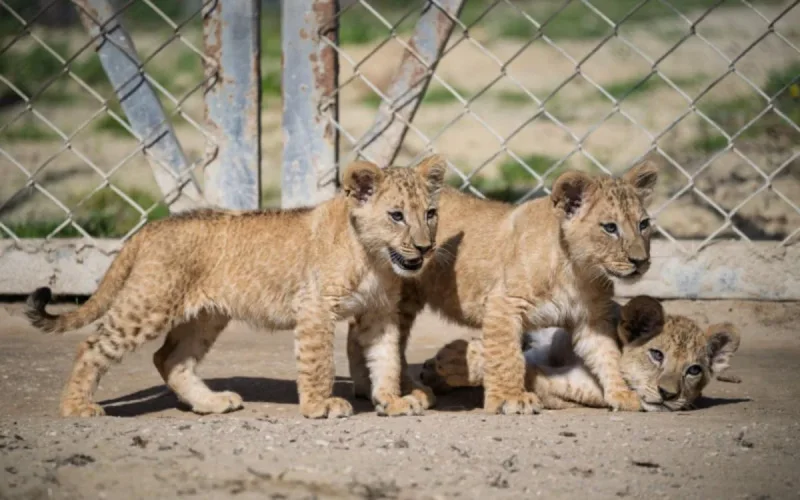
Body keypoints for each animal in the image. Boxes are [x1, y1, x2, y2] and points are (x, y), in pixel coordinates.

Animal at [25, 156, 446, 419]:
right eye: (396, 216)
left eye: (430, 213)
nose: (425, 247)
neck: (375, 260)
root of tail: (151, 226)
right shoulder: (314, 309)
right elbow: (318, 363)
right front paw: (319, 406)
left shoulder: (379, 315)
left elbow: (387, 360)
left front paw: (392, 401)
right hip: (148, 306)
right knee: (92, 347)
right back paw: (77, 407)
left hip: (206, 316)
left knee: (170, 359)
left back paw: (211, 403)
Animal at [347, 161, 660, 415]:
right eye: (610, 228)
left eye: (644, 224)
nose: (641, 261)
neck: (578, 272)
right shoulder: (503, 304)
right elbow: (507, 356)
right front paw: (512, 399)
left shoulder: (592, 319)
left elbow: (609, 355)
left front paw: (623, 394)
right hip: (402, 295)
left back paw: (367, 387)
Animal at [420, 295, 741, 411]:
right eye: (657, 355)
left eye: (694, 370)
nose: (669, 395)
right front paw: (443, 366)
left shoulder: (561, 387)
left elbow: (522, 367)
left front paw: (455, 361)